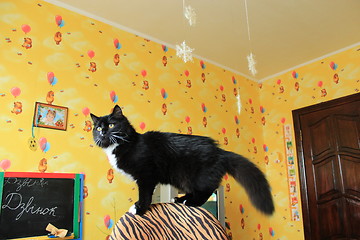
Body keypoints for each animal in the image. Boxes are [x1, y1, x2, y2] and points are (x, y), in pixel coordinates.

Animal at [91, 105, 274, 216]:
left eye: (112, 125)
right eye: (98, 128)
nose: (103, 132)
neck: (125, 145)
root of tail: (220, 151)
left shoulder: (146, 175)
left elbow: (145, 194)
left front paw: (139, 208)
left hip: (198, 176)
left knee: (206, 191)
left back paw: (190, 203)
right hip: (183, 179)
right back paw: (180, 199)